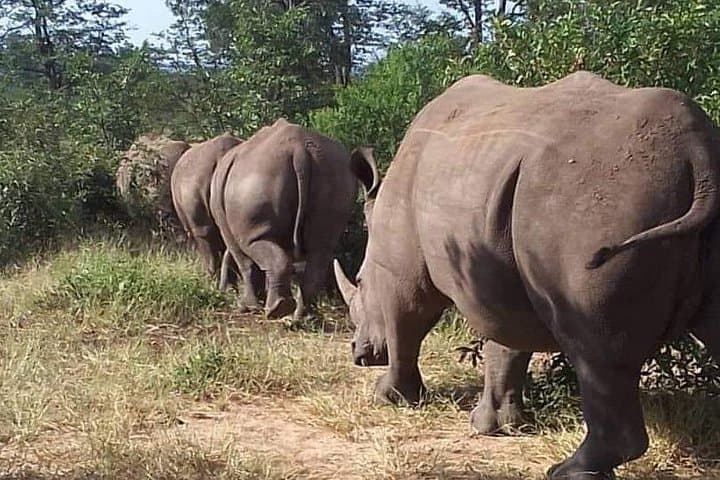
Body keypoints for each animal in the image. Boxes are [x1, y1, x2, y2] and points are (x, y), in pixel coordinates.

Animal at [210, 118, 377, 320]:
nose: (223, 289)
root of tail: (300, 151)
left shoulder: (228, 230)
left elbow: (245, 263)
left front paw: (247, 307)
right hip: (334, 172)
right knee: (321, 248)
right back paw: (303, 317)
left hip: (258, 176)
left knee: (256, 244)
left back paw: (276, 310)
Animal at [333, 71, 720, 479]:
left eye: (360, 281)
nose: (358, 353)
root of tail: (698, 151)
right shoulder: (497, 267)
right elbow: (506, 344)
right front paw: (494, 426)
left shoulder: (401, 272)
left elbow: (406, 323)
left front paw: (389, 397)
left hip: (596, 202)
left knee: (592, 346)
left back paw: (566, 471)